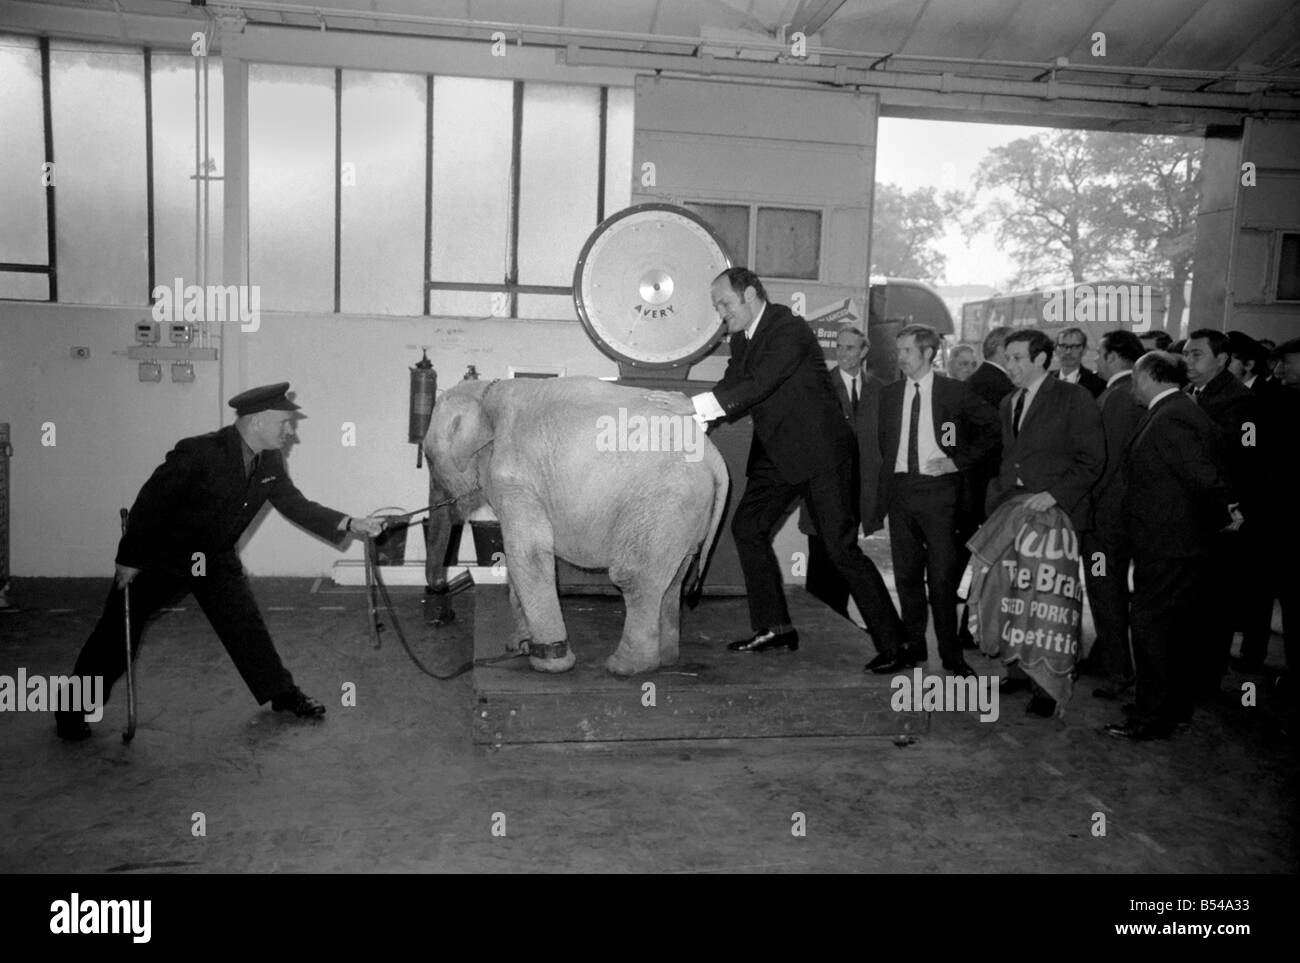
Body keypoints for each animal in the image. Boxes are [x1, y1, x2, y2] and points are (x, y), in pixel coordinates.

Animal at [426, 376, 733, 675]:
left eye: (428, 459)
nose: (444, 590)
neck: (486, 394)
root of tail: (715, 458)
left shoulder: (514, 478)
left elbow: (528, 552)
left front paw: (549, 662)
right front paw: (519, 646)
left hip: (664, 500)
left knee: (632, 575)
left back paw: (625, 667)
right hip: (684, 513)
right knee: (673, 578)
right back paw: (666, 660)